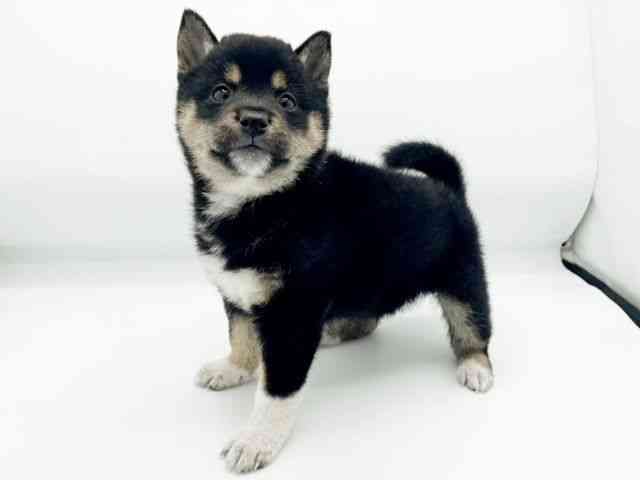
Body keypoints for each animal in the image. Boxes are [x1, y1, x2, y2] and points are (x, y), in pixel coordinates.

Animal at [175, 9, 493, 473]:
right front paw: (234, 369)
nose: (254, 118)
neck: (266, 203)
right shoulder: (239, 295)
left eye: (286, 101)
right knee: (368, 317)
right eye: (221, 91)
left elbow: (276, 390)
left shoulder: (292, 316)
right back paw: (333, 332)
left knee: (472, 329)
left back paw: (476, 367)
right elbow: (241, 337)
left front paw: (257, 440)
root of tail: (450, 189)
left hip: (464, 281)